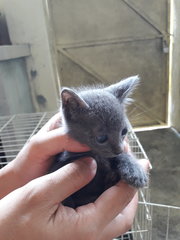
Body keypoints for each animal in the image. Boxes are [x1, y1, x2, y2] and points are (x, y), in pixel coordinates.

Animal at [49, 76, 148, 207]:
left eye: (124, 131)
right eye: (101, 138)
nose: (119, 149)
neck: (97, 156)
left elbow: (121, 157)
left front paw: (134, 169)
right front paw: (68, 202)